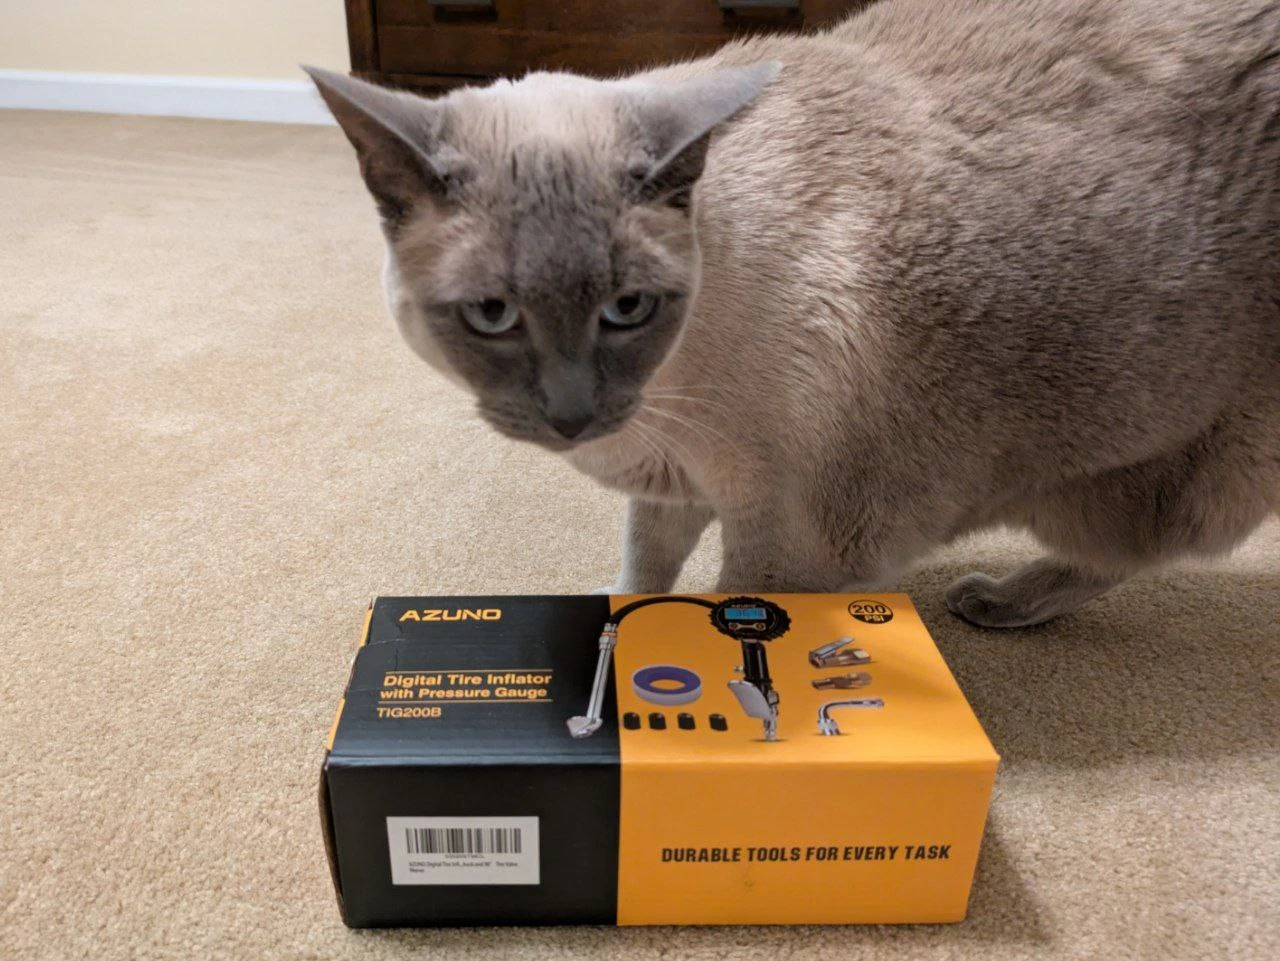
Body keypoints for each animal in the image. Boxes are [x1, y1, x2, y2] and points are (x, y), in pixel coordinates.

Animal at [306, 0, 1279, 627]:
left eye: (626, 308)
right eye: (493, 314)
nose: (572, 414)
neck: (662, 402)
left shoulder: (785, 534)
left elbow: (729, 611)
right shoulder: (671, 489)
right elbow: (640, 575)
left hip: (1177, 462)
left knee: (1140, 549)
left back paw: (997, 602)